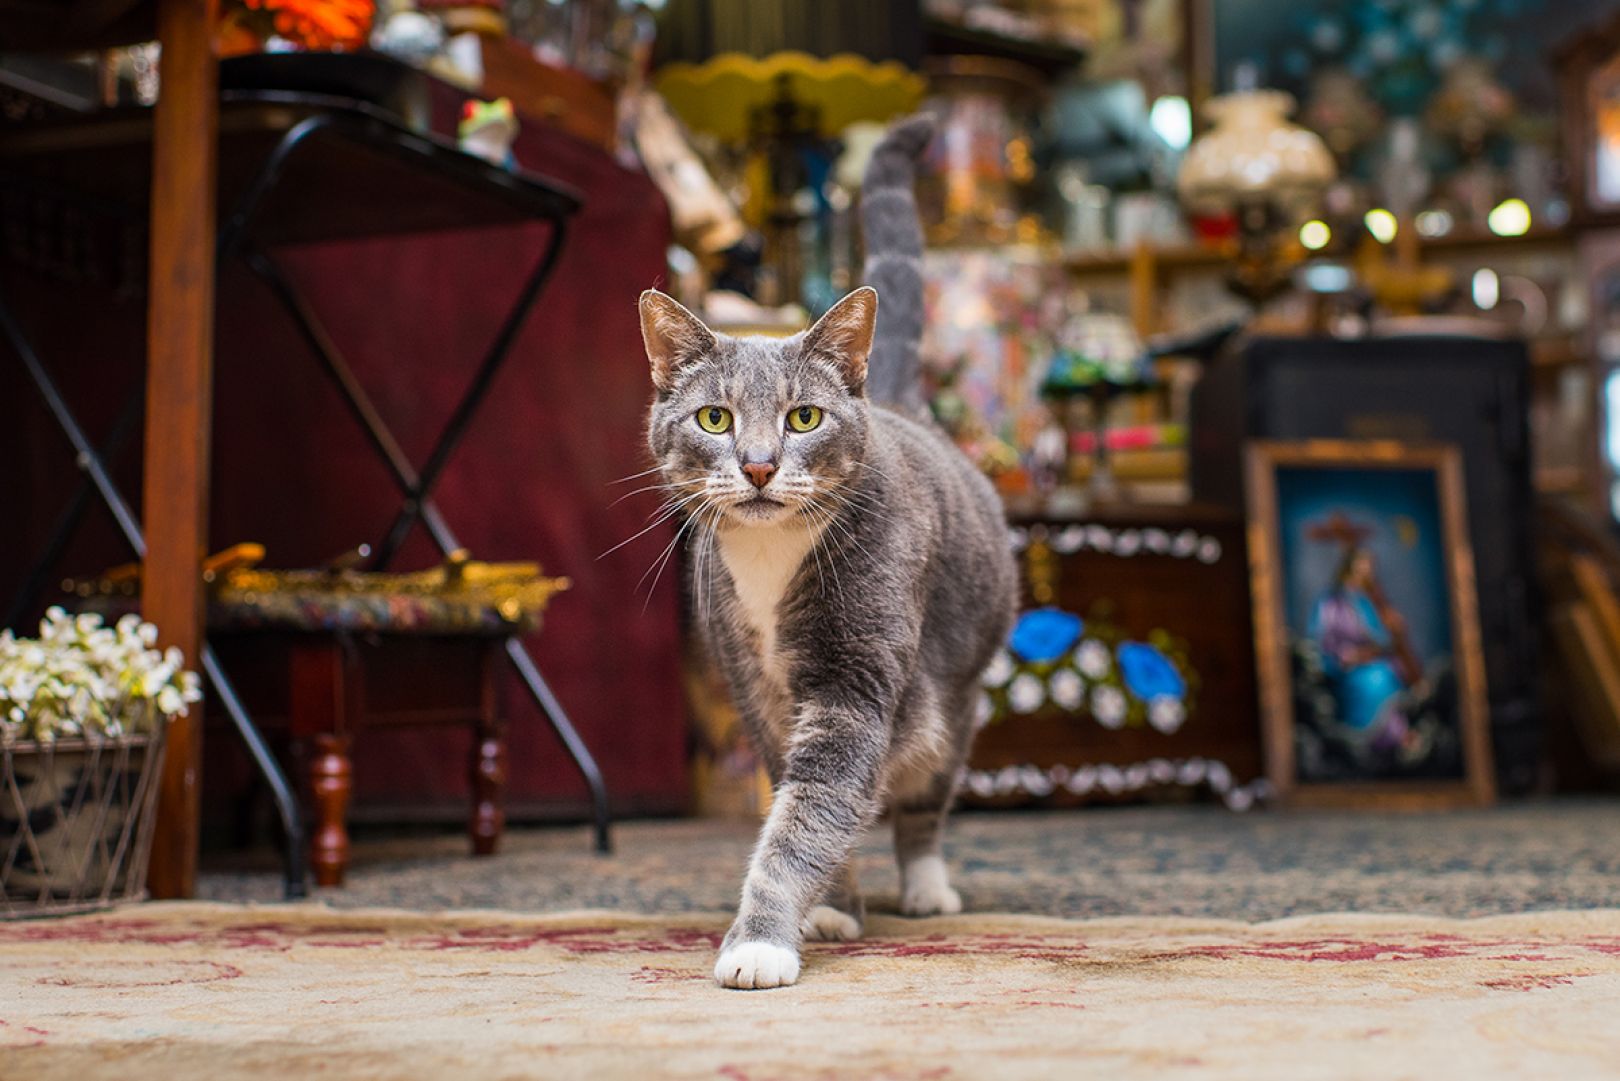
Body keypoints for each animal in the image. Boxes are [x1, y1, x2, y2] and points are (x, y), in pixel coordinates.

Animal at [635, 118, 1004, 991]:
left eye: (803, 417)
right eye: (714, 417)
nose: (760, 465)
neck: (771, 558)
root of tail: (895, 401)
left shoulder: (852, 684)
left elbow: (804, 820)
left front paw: (760, 941)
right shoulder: (757, 690)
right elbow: (800, 802)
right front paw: (831, 908)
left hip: (954, 699)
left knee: (927, 794)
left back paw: (927, 885)